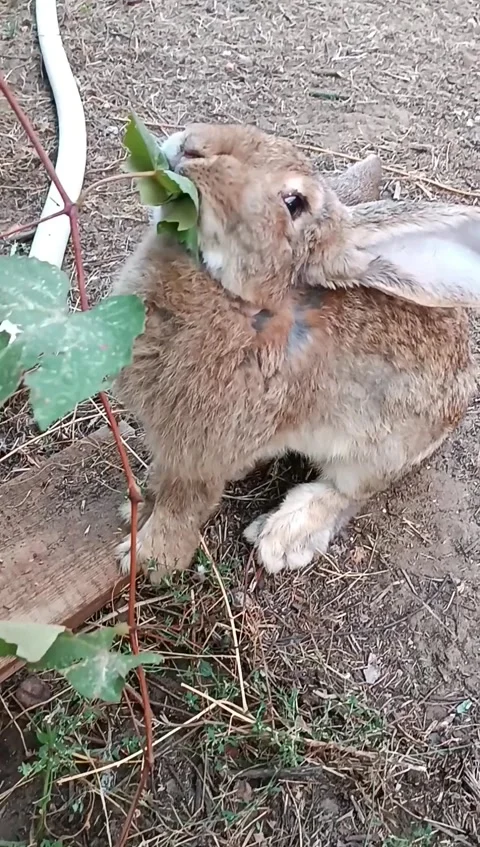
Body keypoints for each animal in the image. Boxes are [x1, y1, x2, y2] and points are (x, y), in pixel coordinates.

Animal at [113, 122, 480, 581]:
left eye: (294, 202)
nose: (193, 146)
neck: (248, 303)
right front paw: (138, 507)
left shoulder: (204, 449)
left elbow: (184, 503)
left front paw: (149, 558)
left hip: (379, 452)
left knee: (349, 492)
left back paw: (284, 536)